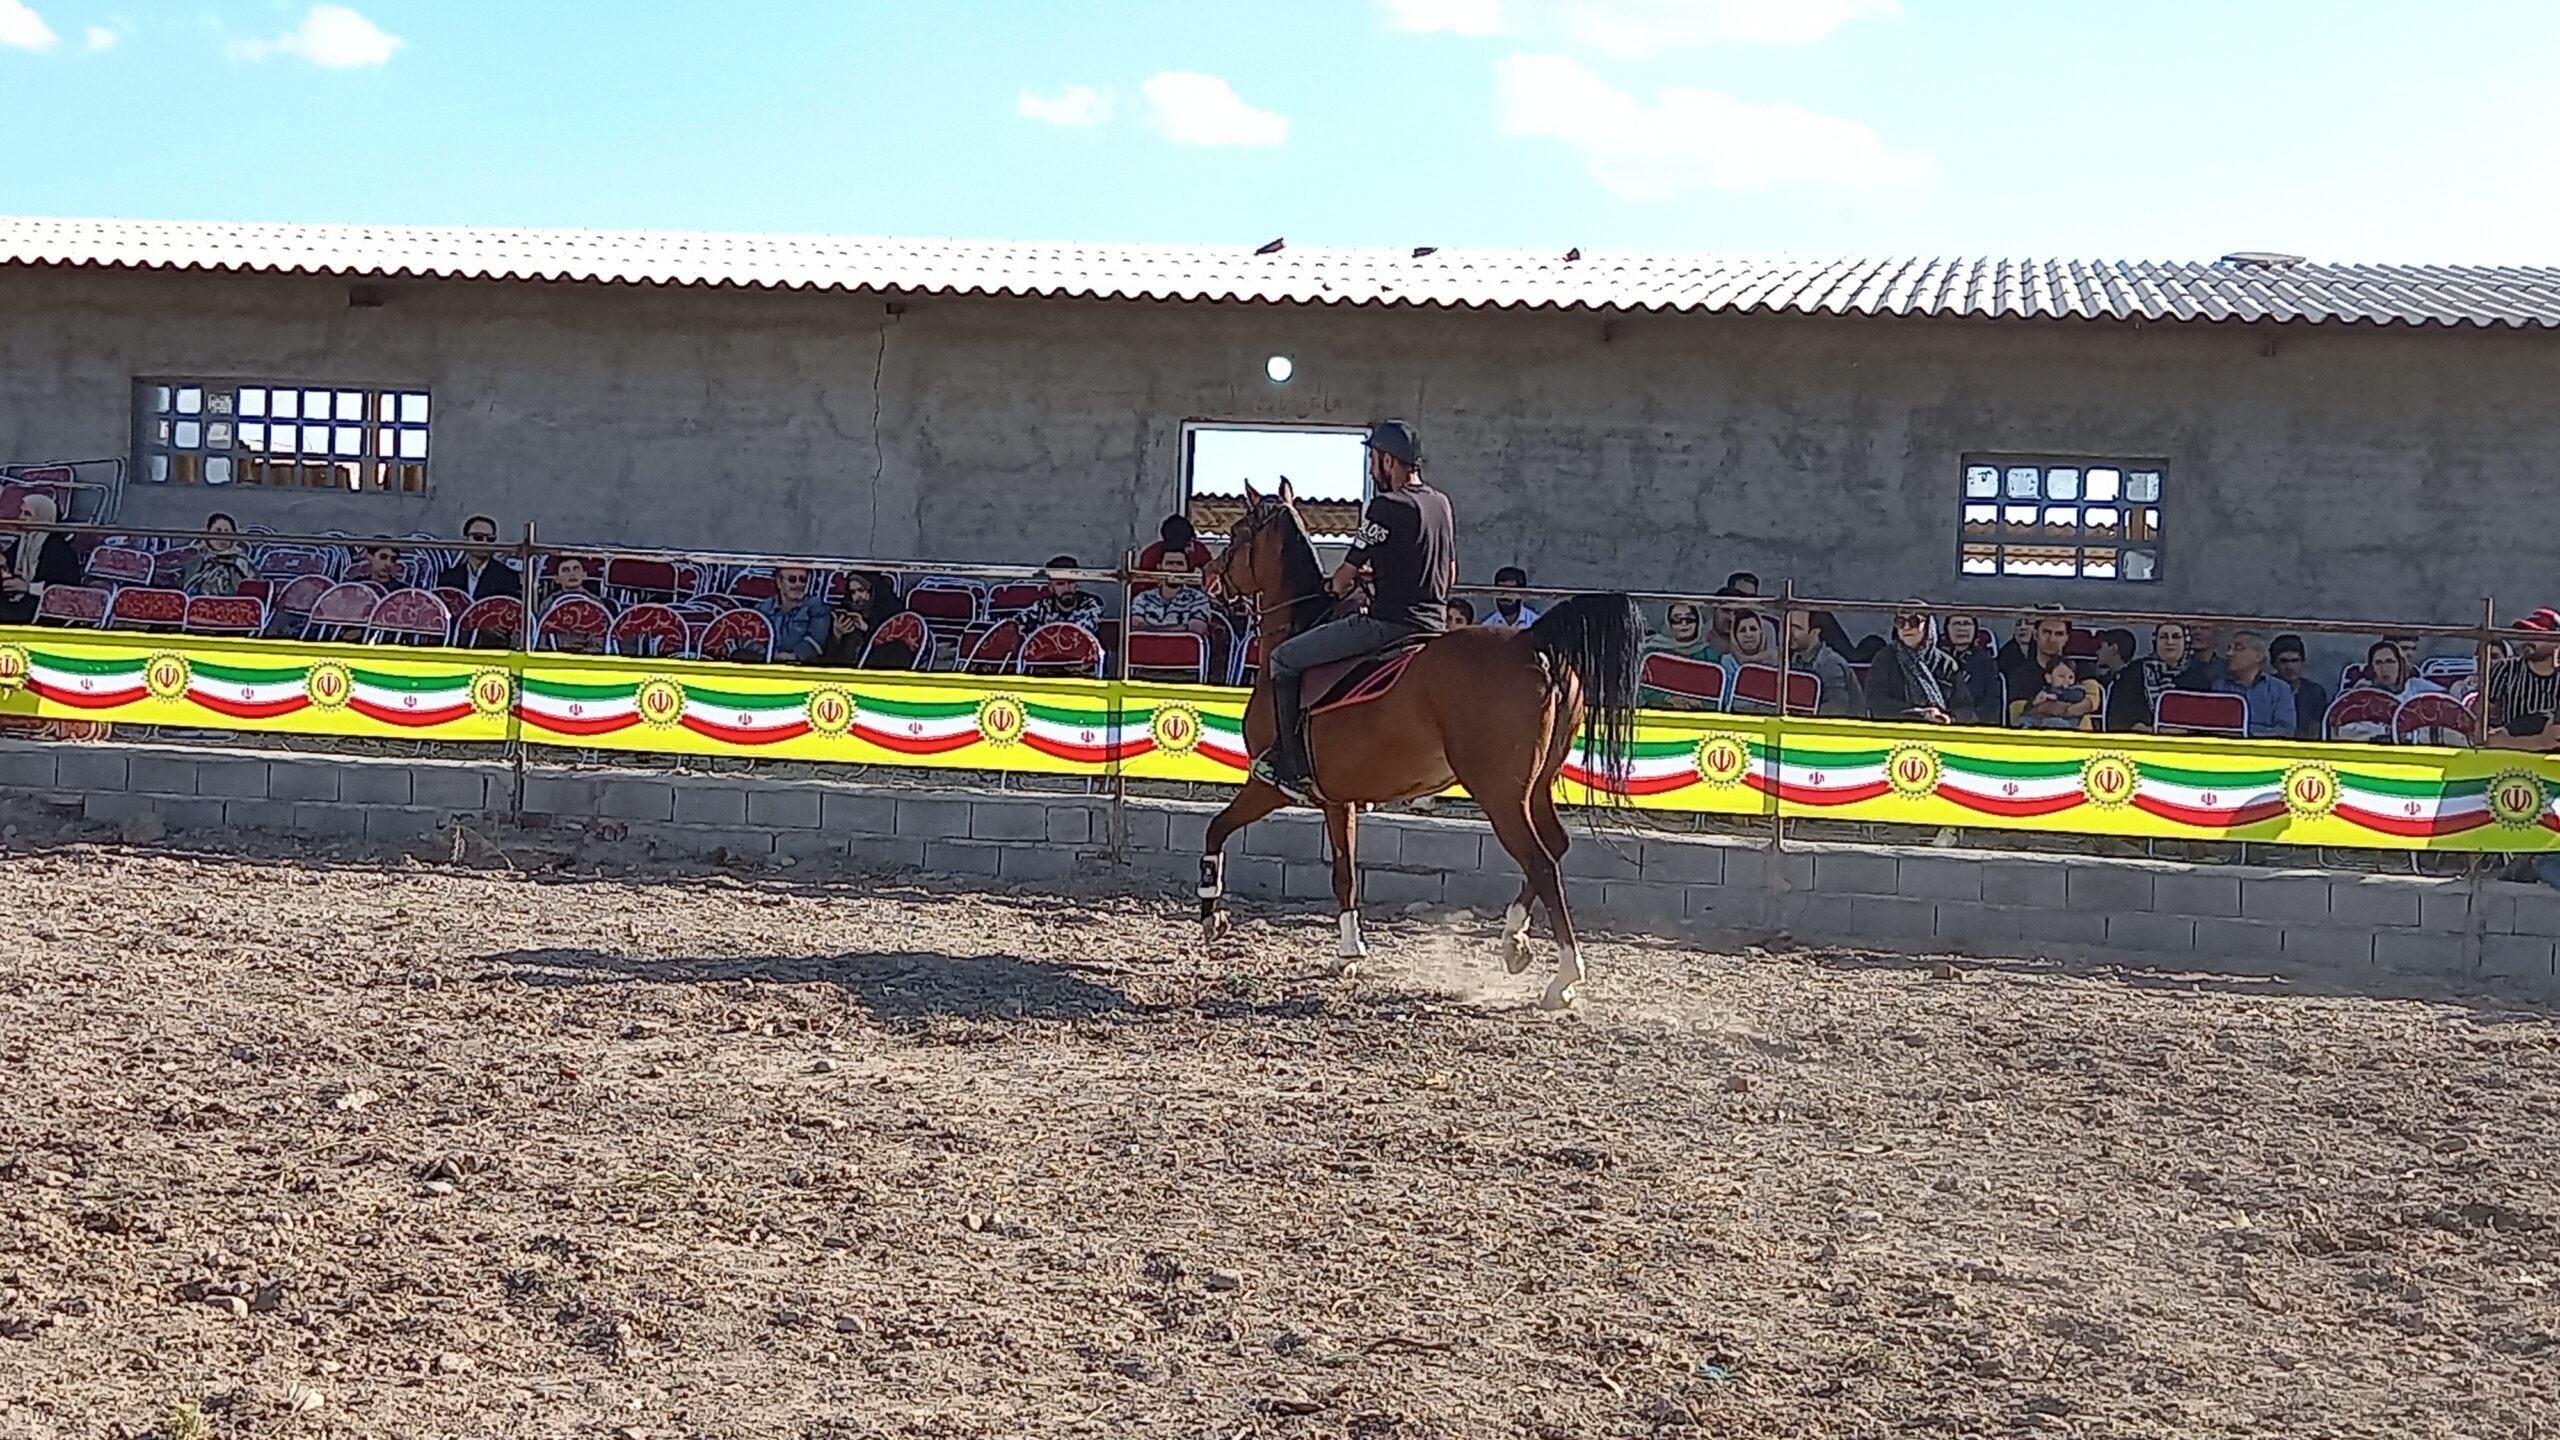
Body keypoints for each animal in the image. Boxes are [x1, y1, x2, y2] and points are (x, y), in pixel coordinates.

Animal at [1198, 481, 1638, 1009]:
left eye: (1238, 533)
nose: (1208, 576)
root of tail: (1529, 642)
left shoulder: (1268, 787)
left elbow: (1217, 829)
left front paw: (1212, 916)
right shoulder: (1338, 800)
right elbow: (1344, 873)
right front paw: (1349, 954)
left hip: (1499, 795)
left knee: (1542, 862)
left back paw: (1565, 976)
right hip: (1535, 787)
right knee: (1554, 848)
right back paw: (1513, 942)